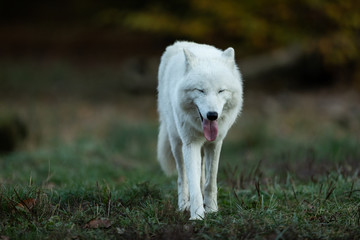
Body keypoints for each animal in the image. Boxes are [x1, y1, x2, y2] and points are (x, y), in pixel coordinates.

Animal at [157, 40, 243, 219]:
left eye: (221, 90)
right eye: (200, 90)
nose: (212, 115)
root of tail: (180, 43)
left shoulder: (215, 144)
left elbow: (210, 182)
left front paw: (211, 209)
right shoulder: (190, 144)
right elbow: (193, 183)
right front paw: (197, 215)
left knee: (202, 174)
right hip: (176, 143)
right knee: (182, 177)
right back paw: (183, 205)